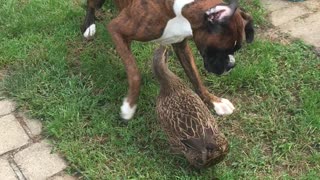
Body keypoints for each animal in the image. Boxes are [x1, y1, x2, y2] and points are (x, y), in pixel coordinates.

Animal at [80, 0, 255, 121]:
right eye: (221, 50)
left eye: (236, 49)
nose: (232, 64)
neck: (180, 13)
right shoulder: (117, 29)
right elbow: (135, 74)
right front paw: (129, 106)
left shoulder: (181, 45)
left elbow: (195, 77)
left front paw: (214, 102)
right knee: (91, 4)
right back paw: (89, 25)